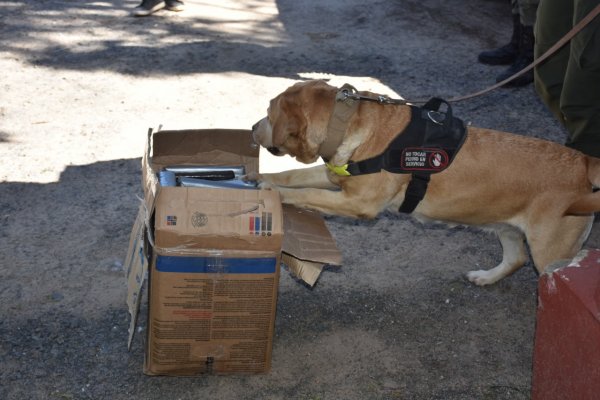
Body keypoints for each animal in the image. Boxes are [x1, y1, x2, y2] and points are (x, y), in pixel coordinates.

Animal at [251, 79, 600, 284]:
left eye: (268, 111)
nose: (253, 128)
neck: (348, 123)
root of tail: (584, 162)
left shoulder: (357, 203)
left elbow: (304, 192)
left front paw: (273, 191)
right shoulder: (332, 178)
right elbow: (291, 175)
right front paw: (260, 176)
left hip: (551, 253)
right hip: (507, 227)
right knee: (516, 258)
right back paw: (486, 277)